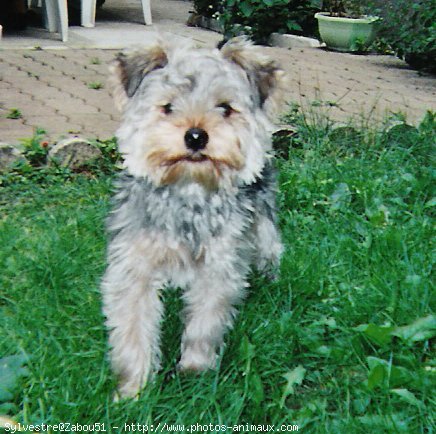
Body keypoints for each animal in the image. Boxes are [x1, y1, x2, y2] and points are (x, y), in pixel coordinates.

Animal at [102, 35, 286, 398]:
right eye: (168, 106)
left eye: (225, 108)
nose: (196, 136)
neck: (189, 190)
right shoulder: (134, 265)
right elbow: (132, 327)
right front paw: (133, 390)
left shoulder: (219, 265)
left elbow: (205, 322)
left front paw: (194, 372)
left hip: (262, 219)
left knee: (270, 246)